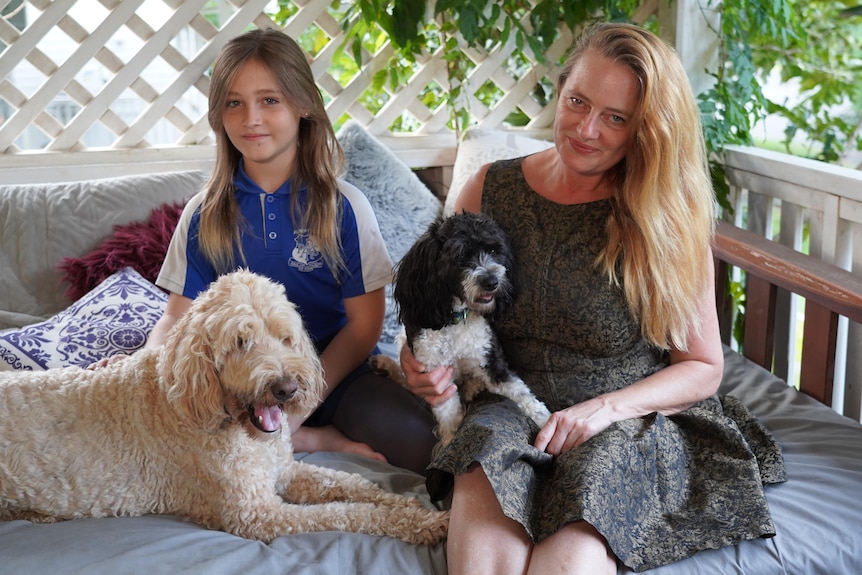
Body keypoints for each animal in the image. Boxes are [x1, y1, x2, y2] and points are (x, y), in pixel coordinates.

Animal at [0, 272, 446, 548]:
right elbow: (346, 512)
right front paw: (421, 522)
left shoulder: (285, 472)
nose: (285, 388)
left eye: (285, 338)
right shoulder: (257, 514)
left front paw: (410, 508)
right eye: (240, 342)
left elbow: (354, 485)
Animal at [372, 212, 552, 450]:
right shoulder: (435, 375)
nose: (492, 281)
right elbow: (448, 414)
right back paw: (384, 366)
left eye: (493, 251)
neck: (457, 320)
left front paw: (548, 422)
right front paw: (449, 442)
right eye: (460, 256)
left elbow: (522, 395)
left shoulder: (491, 359)